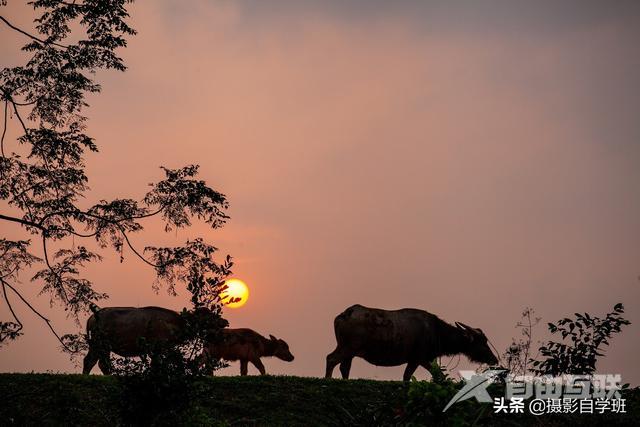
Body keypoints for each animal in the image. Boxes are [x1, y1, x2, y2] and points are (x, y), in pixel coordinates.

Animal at [82, 308, 224, 374]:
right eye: (209, 315)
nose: (224, 321)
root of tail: (92, 318)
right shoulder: (158, 348)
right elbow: (158, 366)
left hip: (100, 346)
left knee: (95, 362)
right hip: (100, 344)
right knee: (97, 362)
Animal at [324, 304, 500, 382]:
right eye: (481, 341)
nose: (494, 359)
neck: (436, 332)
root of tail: (344, 315)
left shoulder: (420, 360)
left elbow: (424, 376)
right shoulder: (418, 358)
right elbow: (417, 376)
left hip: (350, 351)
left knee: (344, 367)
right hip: (348, 347)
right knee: (331, 359)